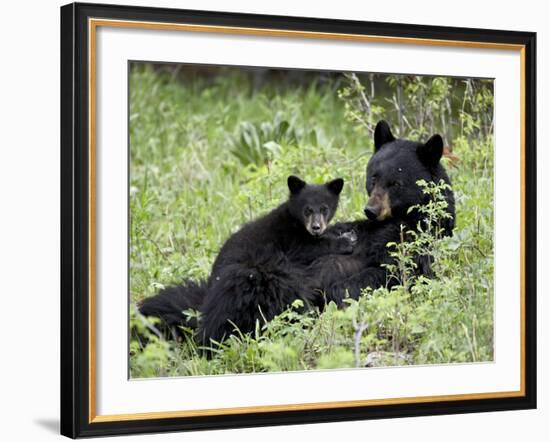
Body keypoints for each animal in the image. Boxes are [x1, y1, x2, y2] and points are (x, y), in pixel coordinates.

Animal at [139, 176, 354, 346]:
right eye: (307, 210)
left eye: (325, 209)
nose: (316, 227)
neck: (297, 223)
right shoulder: (290, 240)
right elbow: (310, 247)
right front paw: (345, 241)